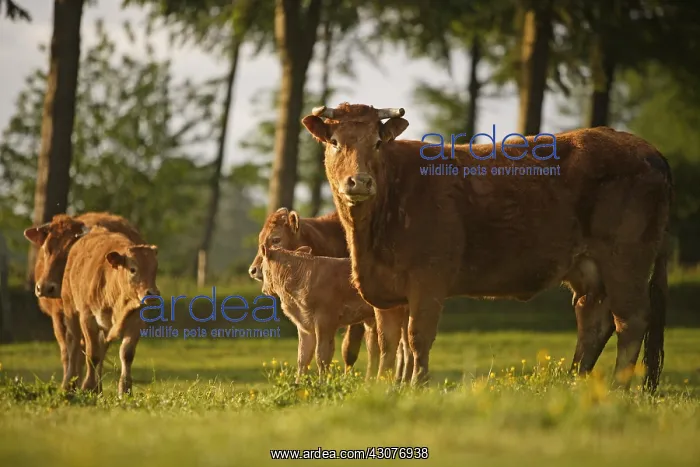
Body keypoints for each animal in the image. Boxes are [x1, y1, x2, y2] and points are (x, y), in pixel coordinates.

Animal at [23, 212, 145, 390]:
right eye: (47, 249)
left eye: (68, 252)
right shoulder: (59, 315)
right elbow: (69, 350)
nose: (44, 287)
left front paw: (82, 385)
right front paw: (70, 383)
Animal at [62, 226, 159, 396]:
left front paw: (125, 390)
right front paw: (88, 386)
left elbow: (126, 354)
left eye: (155, 269)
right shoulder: (88, 318)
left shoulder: (136, 322)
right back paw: (70, 384)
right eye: (133, 269)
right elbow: (92, 354)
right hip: (71, 311)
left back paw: (98, 388)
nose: (152, 294)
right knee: (73, 346)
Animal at [259, 244, 379, 383]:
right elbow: (303, 358)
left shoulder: (325, 321)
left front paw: (323, 384)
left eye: (262, 266)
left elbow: (322, 356)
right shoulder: (305, 326)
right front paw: (298, 384)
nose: (264, 289)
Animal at [301, 102, 672, 392]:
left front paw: (418, 385)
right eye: (335, 142)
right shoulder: (386, 289)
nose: (360, 181)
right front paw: (387, 386)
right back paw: (574, 382)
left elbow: (418, 336)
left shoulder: (428, 279)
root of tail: (646, 149)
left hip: (626, 259)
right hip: (588, 269)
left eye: (377, 142)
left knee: (631, 320)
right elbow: (390, 341)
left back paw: (618, 387)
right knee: (593, 321)